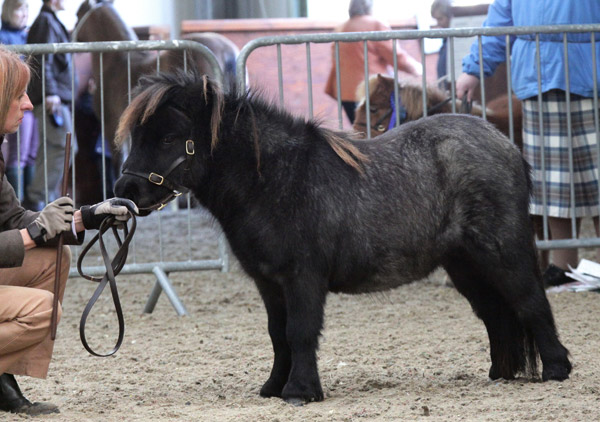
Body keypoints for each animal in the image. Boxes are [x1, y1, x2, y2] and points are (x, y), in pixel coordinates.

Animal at [113, 71, 572, 404]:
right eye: (138, 136)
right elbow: (278, 335)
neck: (274, 181)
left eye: (169, 137)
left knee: (530, 302)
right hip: (464, 265)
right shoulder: (269, 283)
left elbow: (300, 331)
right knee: (496, 314)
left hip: (502, 252)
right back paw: (499, 375)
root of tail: (508, 146)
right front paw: (273, 388)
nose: (125, 190)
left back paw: (556, 370)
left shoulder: (303, 278)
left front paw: (300, 392)